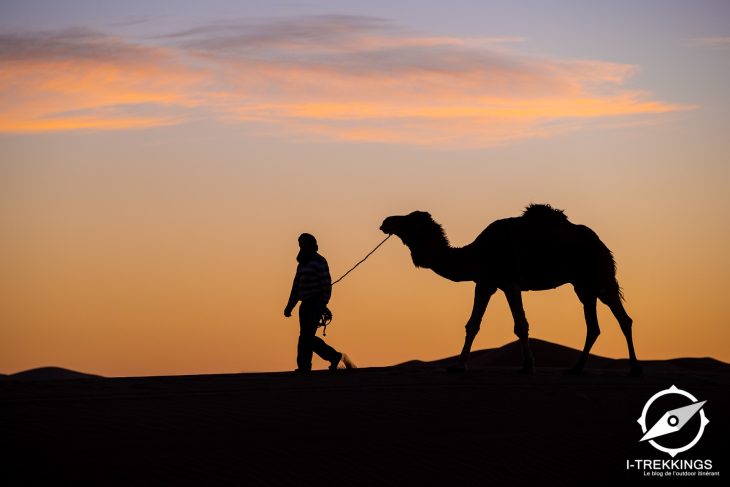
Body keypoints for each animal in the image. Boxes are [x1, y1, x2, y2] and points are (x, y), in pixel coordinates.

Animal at [378, 204, 640, 376]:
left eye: (409, 220)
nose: (386, 221)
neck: (478, 254)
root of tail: (602, 244)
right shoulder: (485, 283)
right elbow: (472, 325)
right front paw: (458, 365)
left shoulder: (510, 282)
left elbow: (521, 325)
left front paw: (528, 366)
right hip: (583, 285)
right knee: (593, 326)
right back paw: (576, 368)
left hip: (600, 276)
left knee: (624, 319)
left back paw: (635, 368)